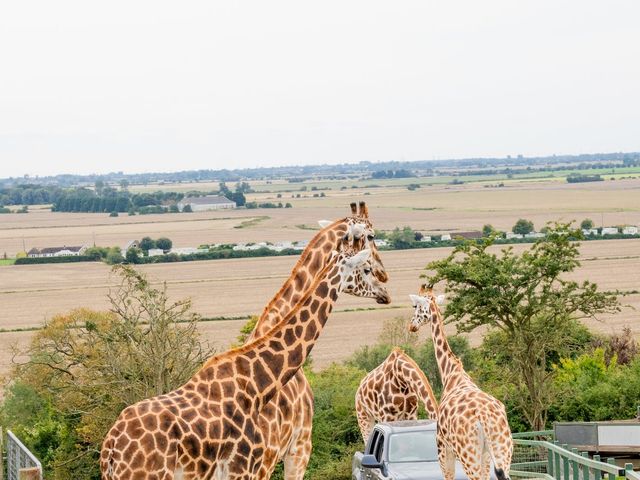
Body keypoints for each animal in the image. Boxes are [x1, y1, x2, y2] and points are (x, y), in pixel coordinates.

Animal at [412, 286, 512, 480]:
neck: (451, 373)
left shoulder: (443, 449)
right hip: (502, 451)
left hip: (468, 455)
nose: (411, 326)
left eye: (416, 306)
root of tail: (483, 418)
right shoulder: (486, 457)